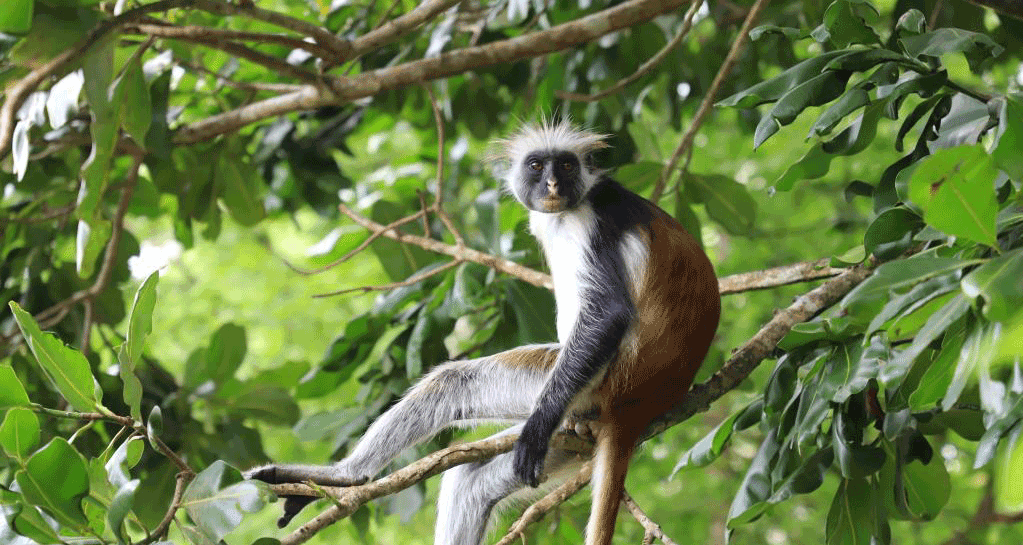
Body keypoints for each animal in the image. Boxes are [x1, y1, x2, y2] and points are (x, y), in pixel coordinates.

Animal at [249, 122, 720, 543]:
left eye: (567, 165)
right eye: (537, 165)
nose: (552, 182)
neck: (571, 206)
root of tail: (642, 400)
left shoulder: (590, 222)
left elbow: (608, 313)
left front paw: (536, 426)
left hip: (590, 387)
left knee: (453, 383)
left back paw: (347, 476)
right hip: (575, 427)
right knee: (469, 479)